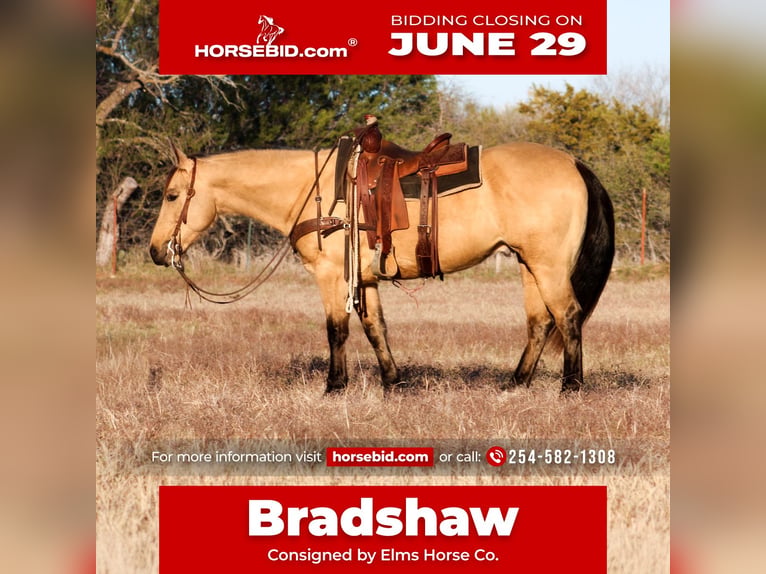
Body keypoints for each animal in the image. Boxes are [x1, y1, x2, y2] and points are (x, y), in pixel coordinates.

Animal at [149, 139, 614, 394]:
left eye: (172, 196)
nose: (156, 251)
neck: (313, 190)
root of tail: (575, 163)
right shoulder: (365, 280)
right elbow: (376, 329)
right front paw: (393, 382)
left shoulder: (331, 276)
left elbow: (336, 330)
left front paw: (334, 386)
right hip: (529, 265)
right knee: (540, 322)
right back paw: (515, 384)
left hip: (548, 266)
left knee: (568, 316)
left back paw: (570, 387)